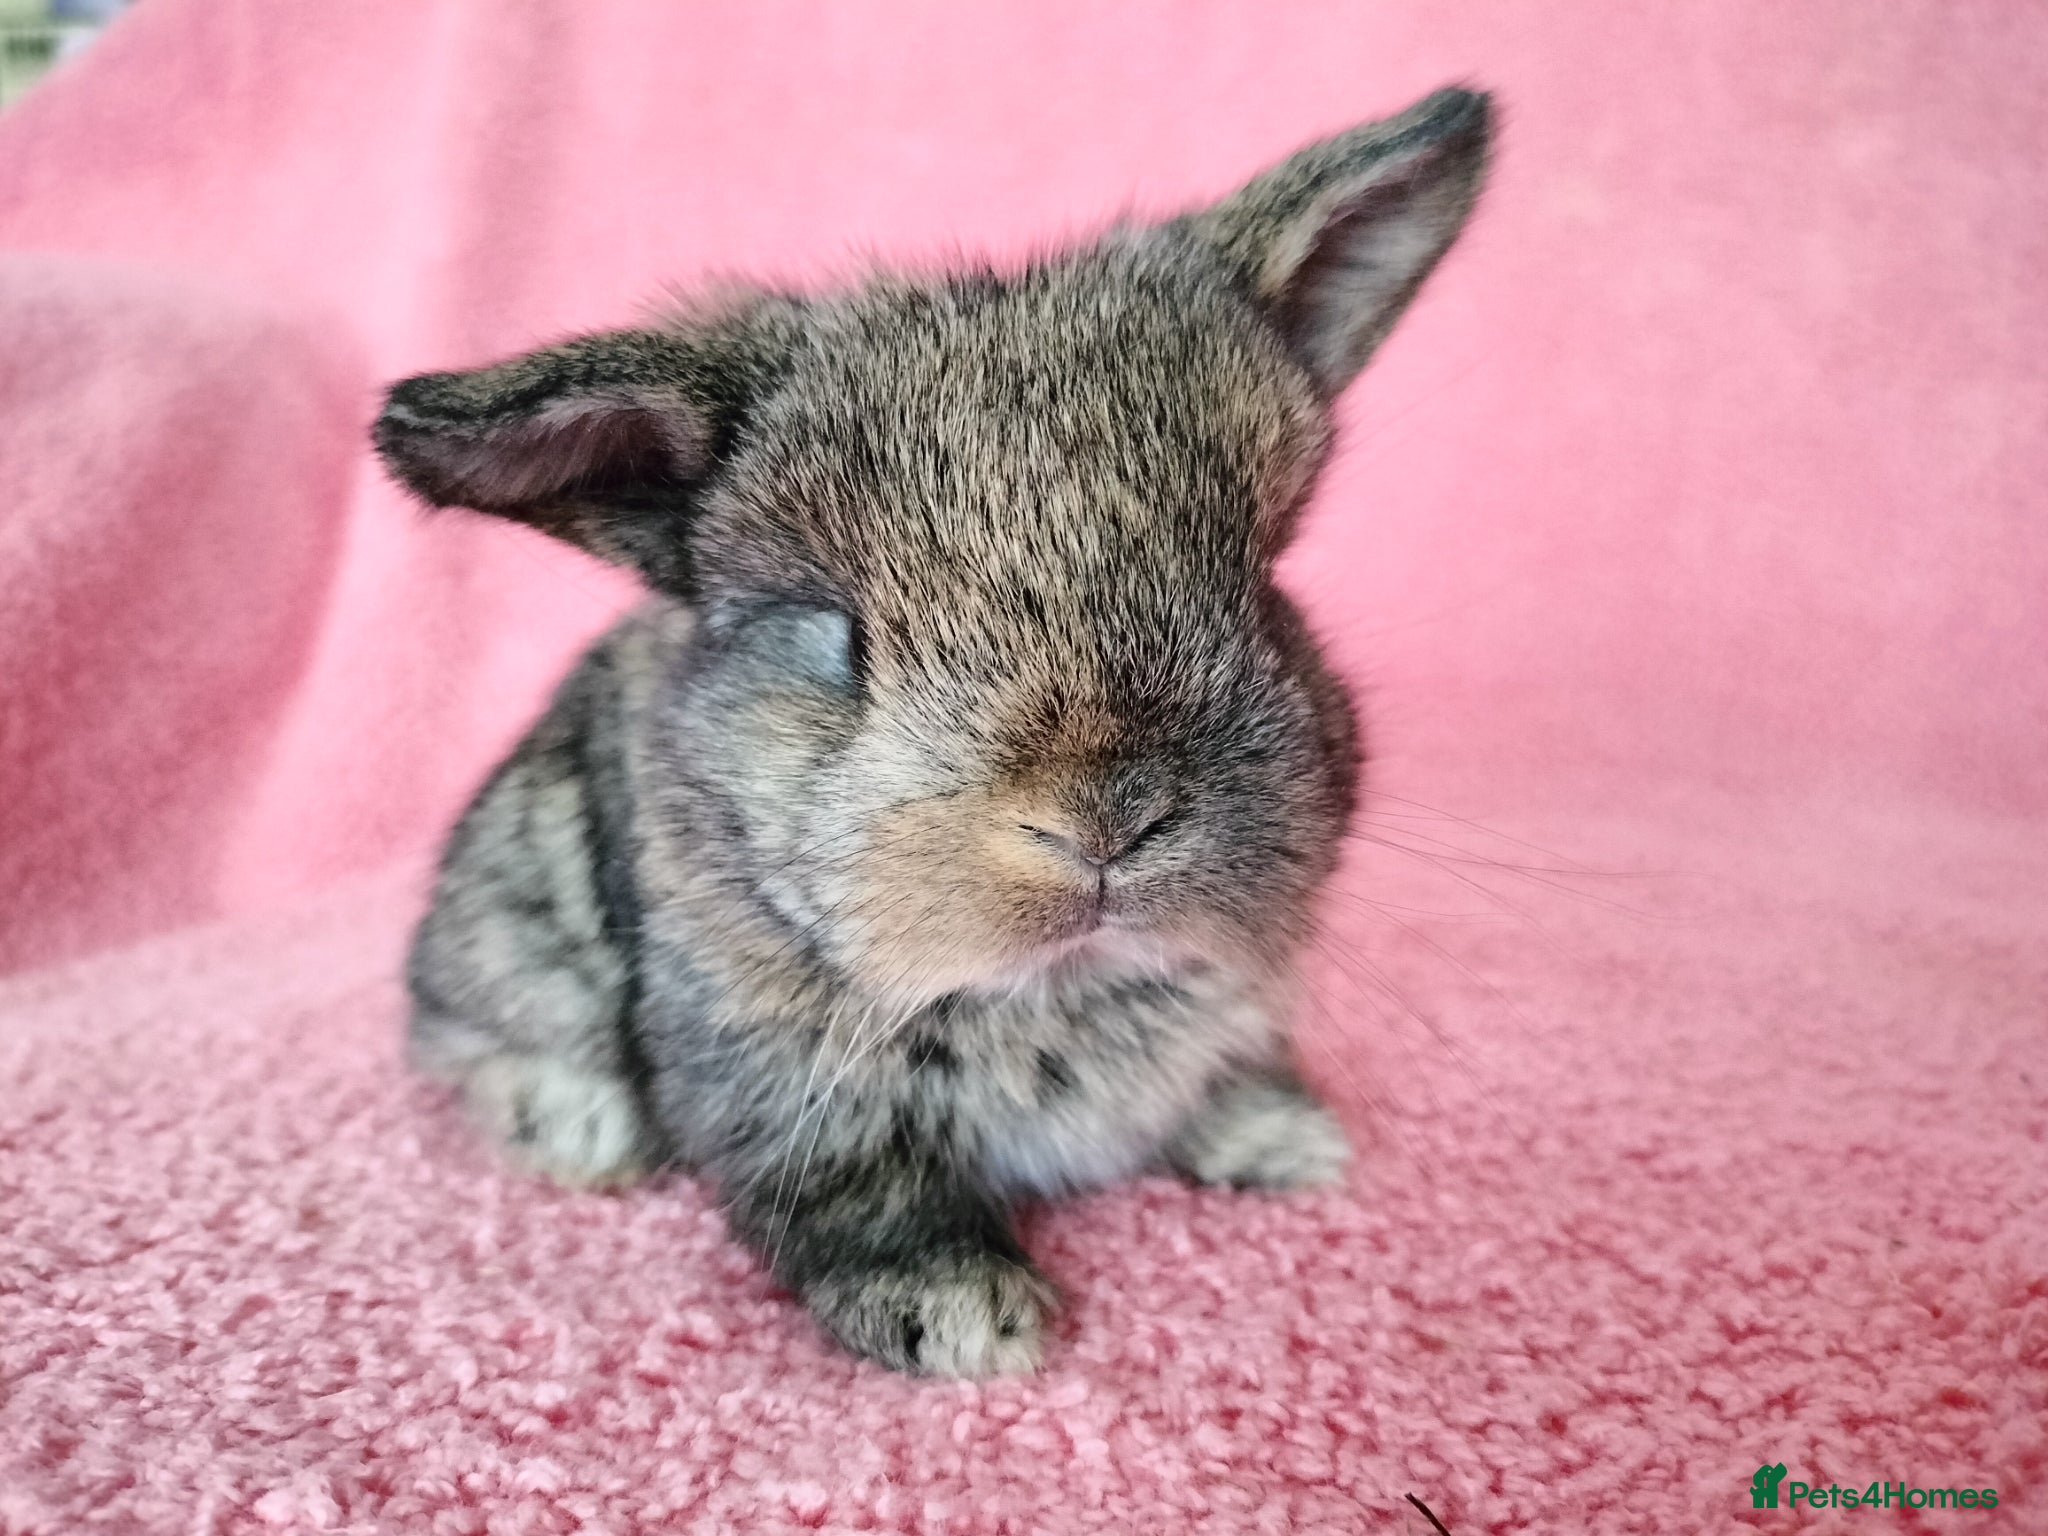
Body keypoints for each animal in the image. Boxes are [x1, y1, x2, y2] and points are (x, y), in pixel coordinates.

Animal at [373, 86, 1490, 1377]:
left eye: (1258, 583)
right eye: (841, 639)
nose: (1102, 816)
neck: (1050, 986)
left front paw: (1286, 1139)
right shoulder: (768, 1066)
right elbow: (854, 1188)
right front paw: (967, 1319)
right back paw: (582, 1132)